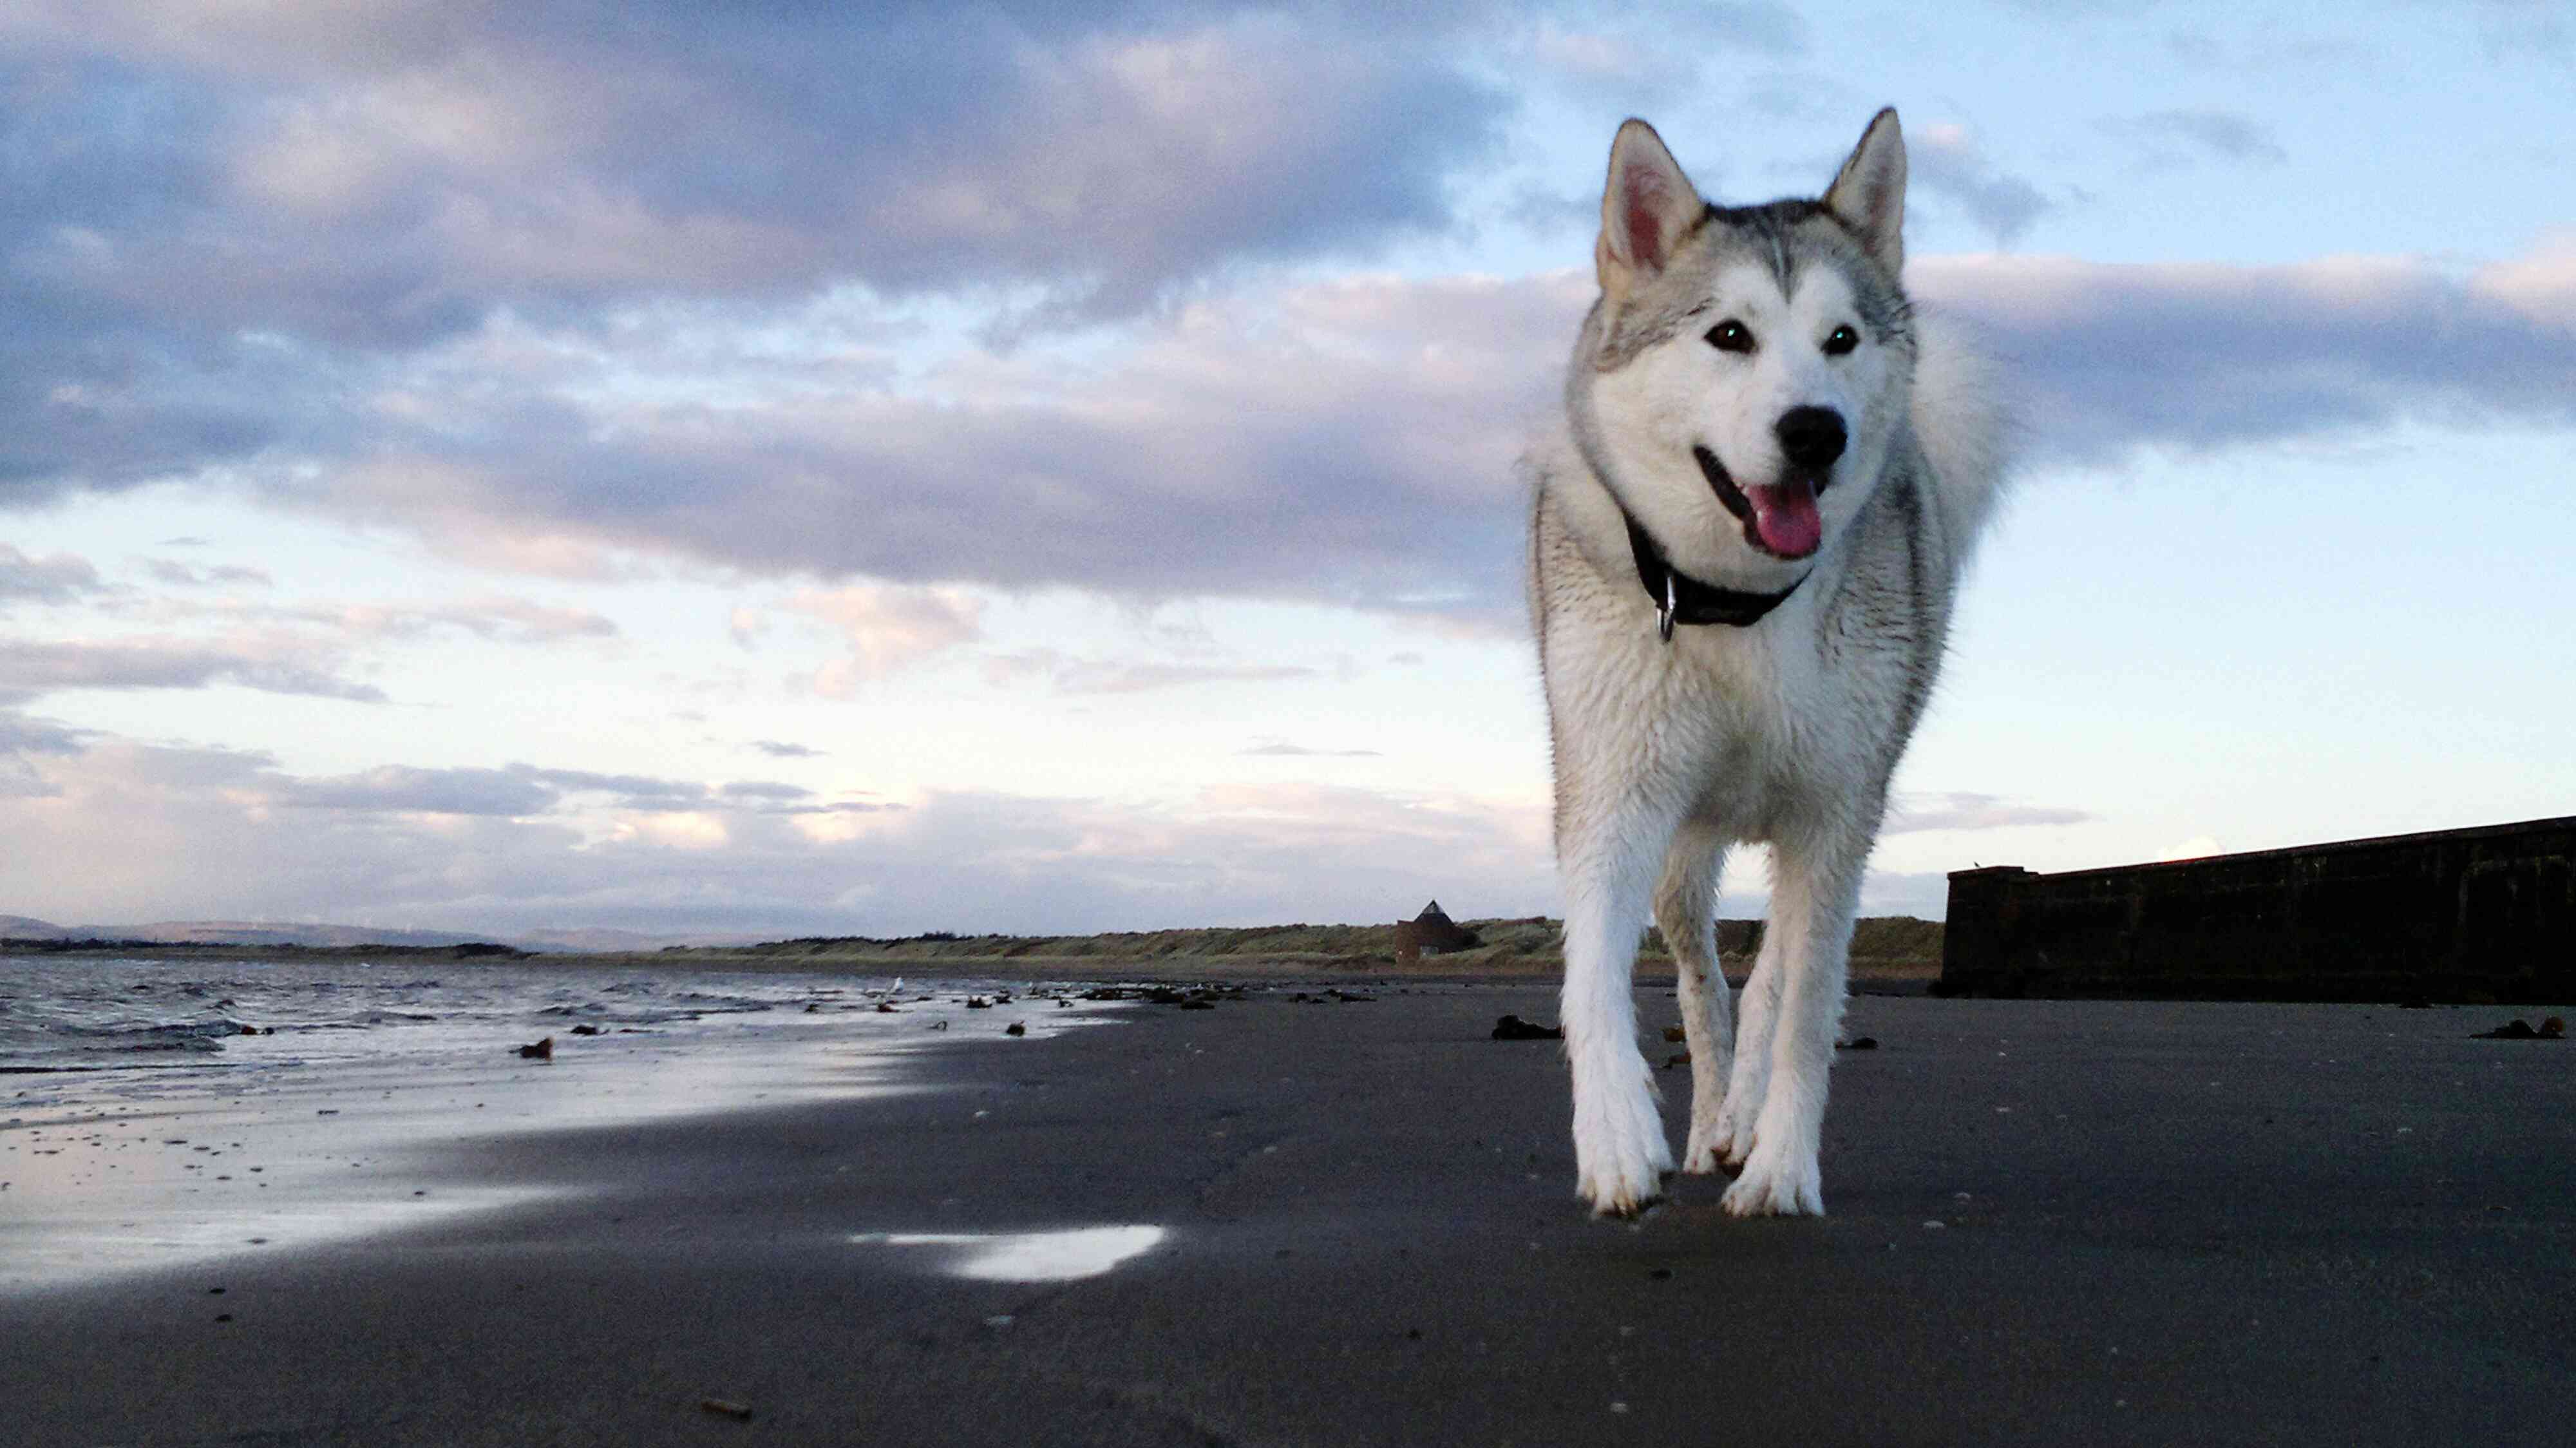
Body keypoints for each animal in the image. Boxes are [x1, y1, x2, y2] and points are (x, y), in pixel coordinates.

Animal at [1525, 113, 2009, 1211]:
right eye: (1730, 336)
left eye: (1842, 340)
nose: (1816, 431)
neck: (1737, 606)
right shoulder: (1614, 793)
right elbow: (1594, 981)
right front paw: (1617, 1137)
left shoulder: (1835, 815)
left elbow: (1802, 1010)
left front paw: (1784, 1167)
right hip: (1683, 853)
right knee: (1704, 987)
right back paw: (1711, 1120)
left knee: (1775, 976)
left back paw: (1744, 1122)